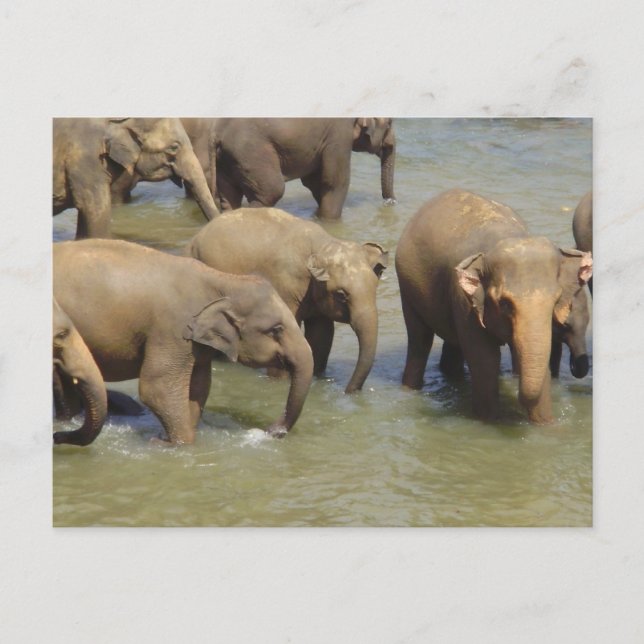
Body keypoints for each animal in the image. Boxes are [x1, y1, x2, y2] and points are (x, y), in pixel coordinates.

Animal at [185, 207, 388, 393]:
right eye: (341, 295)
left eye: (375, 286)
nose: (347, 391)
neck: (322, 245)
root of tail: (194, 240)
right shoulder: (284, 287)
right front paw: (280, 383)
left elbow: (322, 334)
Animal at [189, 117, 396, 219]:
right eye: (391, 122)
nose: (390, 202)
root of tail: (216, 133)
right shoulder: (338, 135)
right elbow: (334, 182)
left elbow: (314, 182)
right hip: (250, 152)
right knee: (271, 191)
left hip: (226, 160)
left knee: (229, 198)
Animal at [395, 189, 593, 424]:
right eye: (504, 304)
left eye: (555, 300)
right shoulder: (465, 302)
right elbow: (485, 360)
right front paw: (491, 422)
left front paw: (546, 425)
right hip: (407, 287)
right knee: (420, 340)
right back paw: (410, 389)